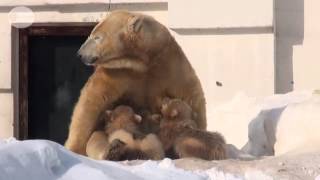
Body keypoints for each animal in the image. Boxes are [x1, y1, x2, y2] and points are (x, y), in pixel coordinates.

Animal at [65, 10, 206, 155]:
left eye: (97, 37)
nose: (80, 54)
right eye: (91, 34)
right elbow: (93, 101)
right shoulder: (119, 73)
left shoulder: (169, 64)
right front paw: (74, 148)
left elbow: (190, 94)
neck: (144, 60)